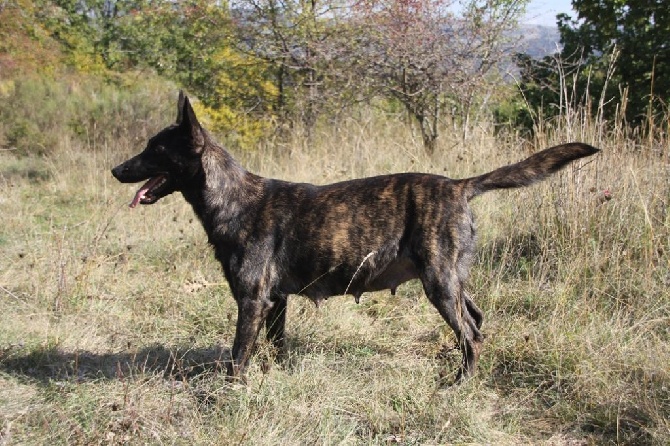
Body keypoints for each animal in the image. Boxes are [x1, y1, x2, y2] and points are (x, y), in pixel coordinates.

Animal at [113, 92, 600, 382]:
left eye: (155, 149)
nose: (116, 170)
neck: (234, 199)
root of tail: (459, 186)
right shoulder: (276, 302)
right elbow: (276, 345)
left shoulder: (251, 301)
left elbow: (237, 356)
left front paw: (230, 394)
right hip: (451, 280)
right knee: (476, 321)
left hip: (439, 284)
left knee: (470, 334)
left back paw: (459, 383)